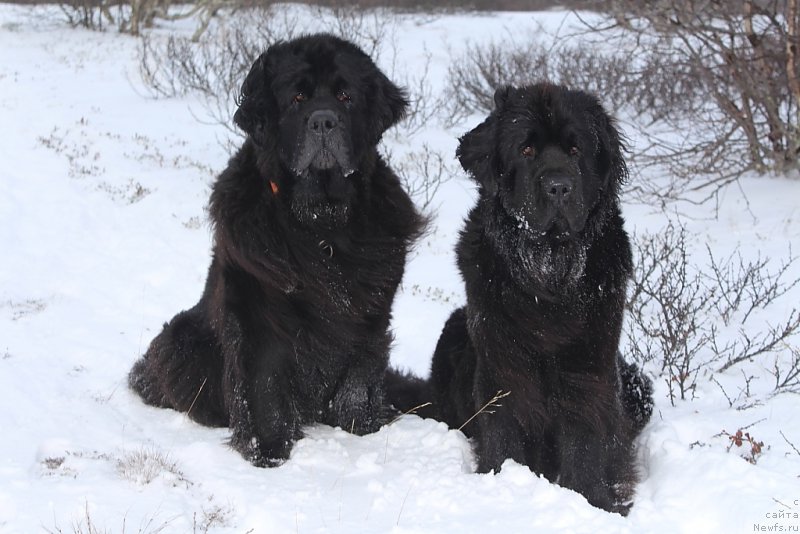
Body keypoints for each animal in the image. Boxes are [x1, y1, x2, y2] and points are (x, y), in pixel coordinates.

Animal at [128, 33, 424, 468]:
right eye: (297, 98)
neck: (321, 223)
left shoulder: (371, 306)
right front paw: (266, 450)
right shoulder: (255, 306)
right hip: (182, 339)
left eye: (345, 96)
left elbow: (361, 372)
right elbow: (262, 380)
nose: (323, 121)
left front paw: (361, 428)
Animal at [386, 84, 648, 516]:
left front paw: (592, 500)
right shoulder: (502, 359)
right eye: (526, 150)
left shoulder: (589, 361)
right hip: (454, 330)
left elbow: (586, 430)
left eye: (576, 150)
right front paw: (501, 479)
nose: (558, 186)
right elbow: (504, 421)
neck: (550, 271)